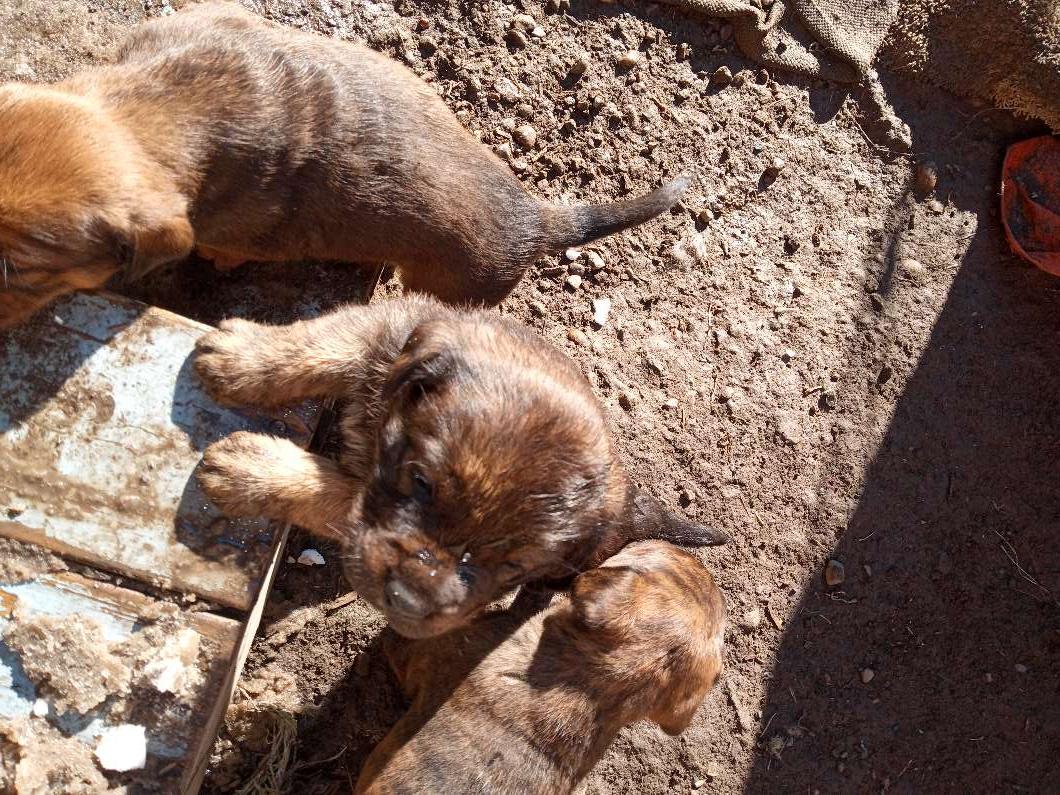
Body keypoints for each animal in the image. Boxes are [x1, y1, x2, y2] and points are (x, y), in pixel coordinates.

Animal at [192, 298, 729, 640]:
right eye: (421, 483)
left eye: (512, 565)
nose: (408, 602)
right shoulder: (380, 331)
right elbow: (318, 346)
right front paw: (241, 358)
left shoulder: (358, 512)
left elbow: (335, 490)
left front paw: (251, 470)